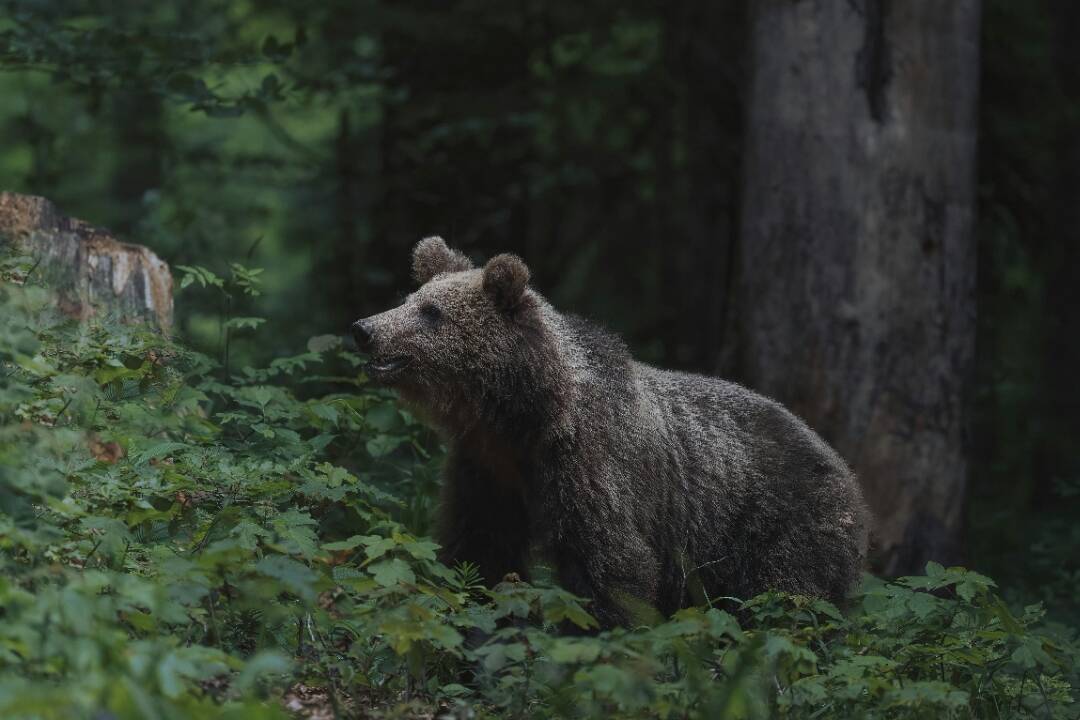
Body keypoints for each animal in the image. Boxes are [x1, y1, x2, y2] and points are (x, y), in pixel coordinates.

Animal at [354, 239, 868, 626]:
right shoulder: (487, 469)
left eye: (431, 311)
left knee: (789, 600)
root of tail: (845, 469)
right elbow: (481, 549)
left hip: (778, 522)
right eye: (407, 300)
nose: (364, 328)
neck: (524, 418)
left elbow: (610, 566)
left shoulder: (590, 464)